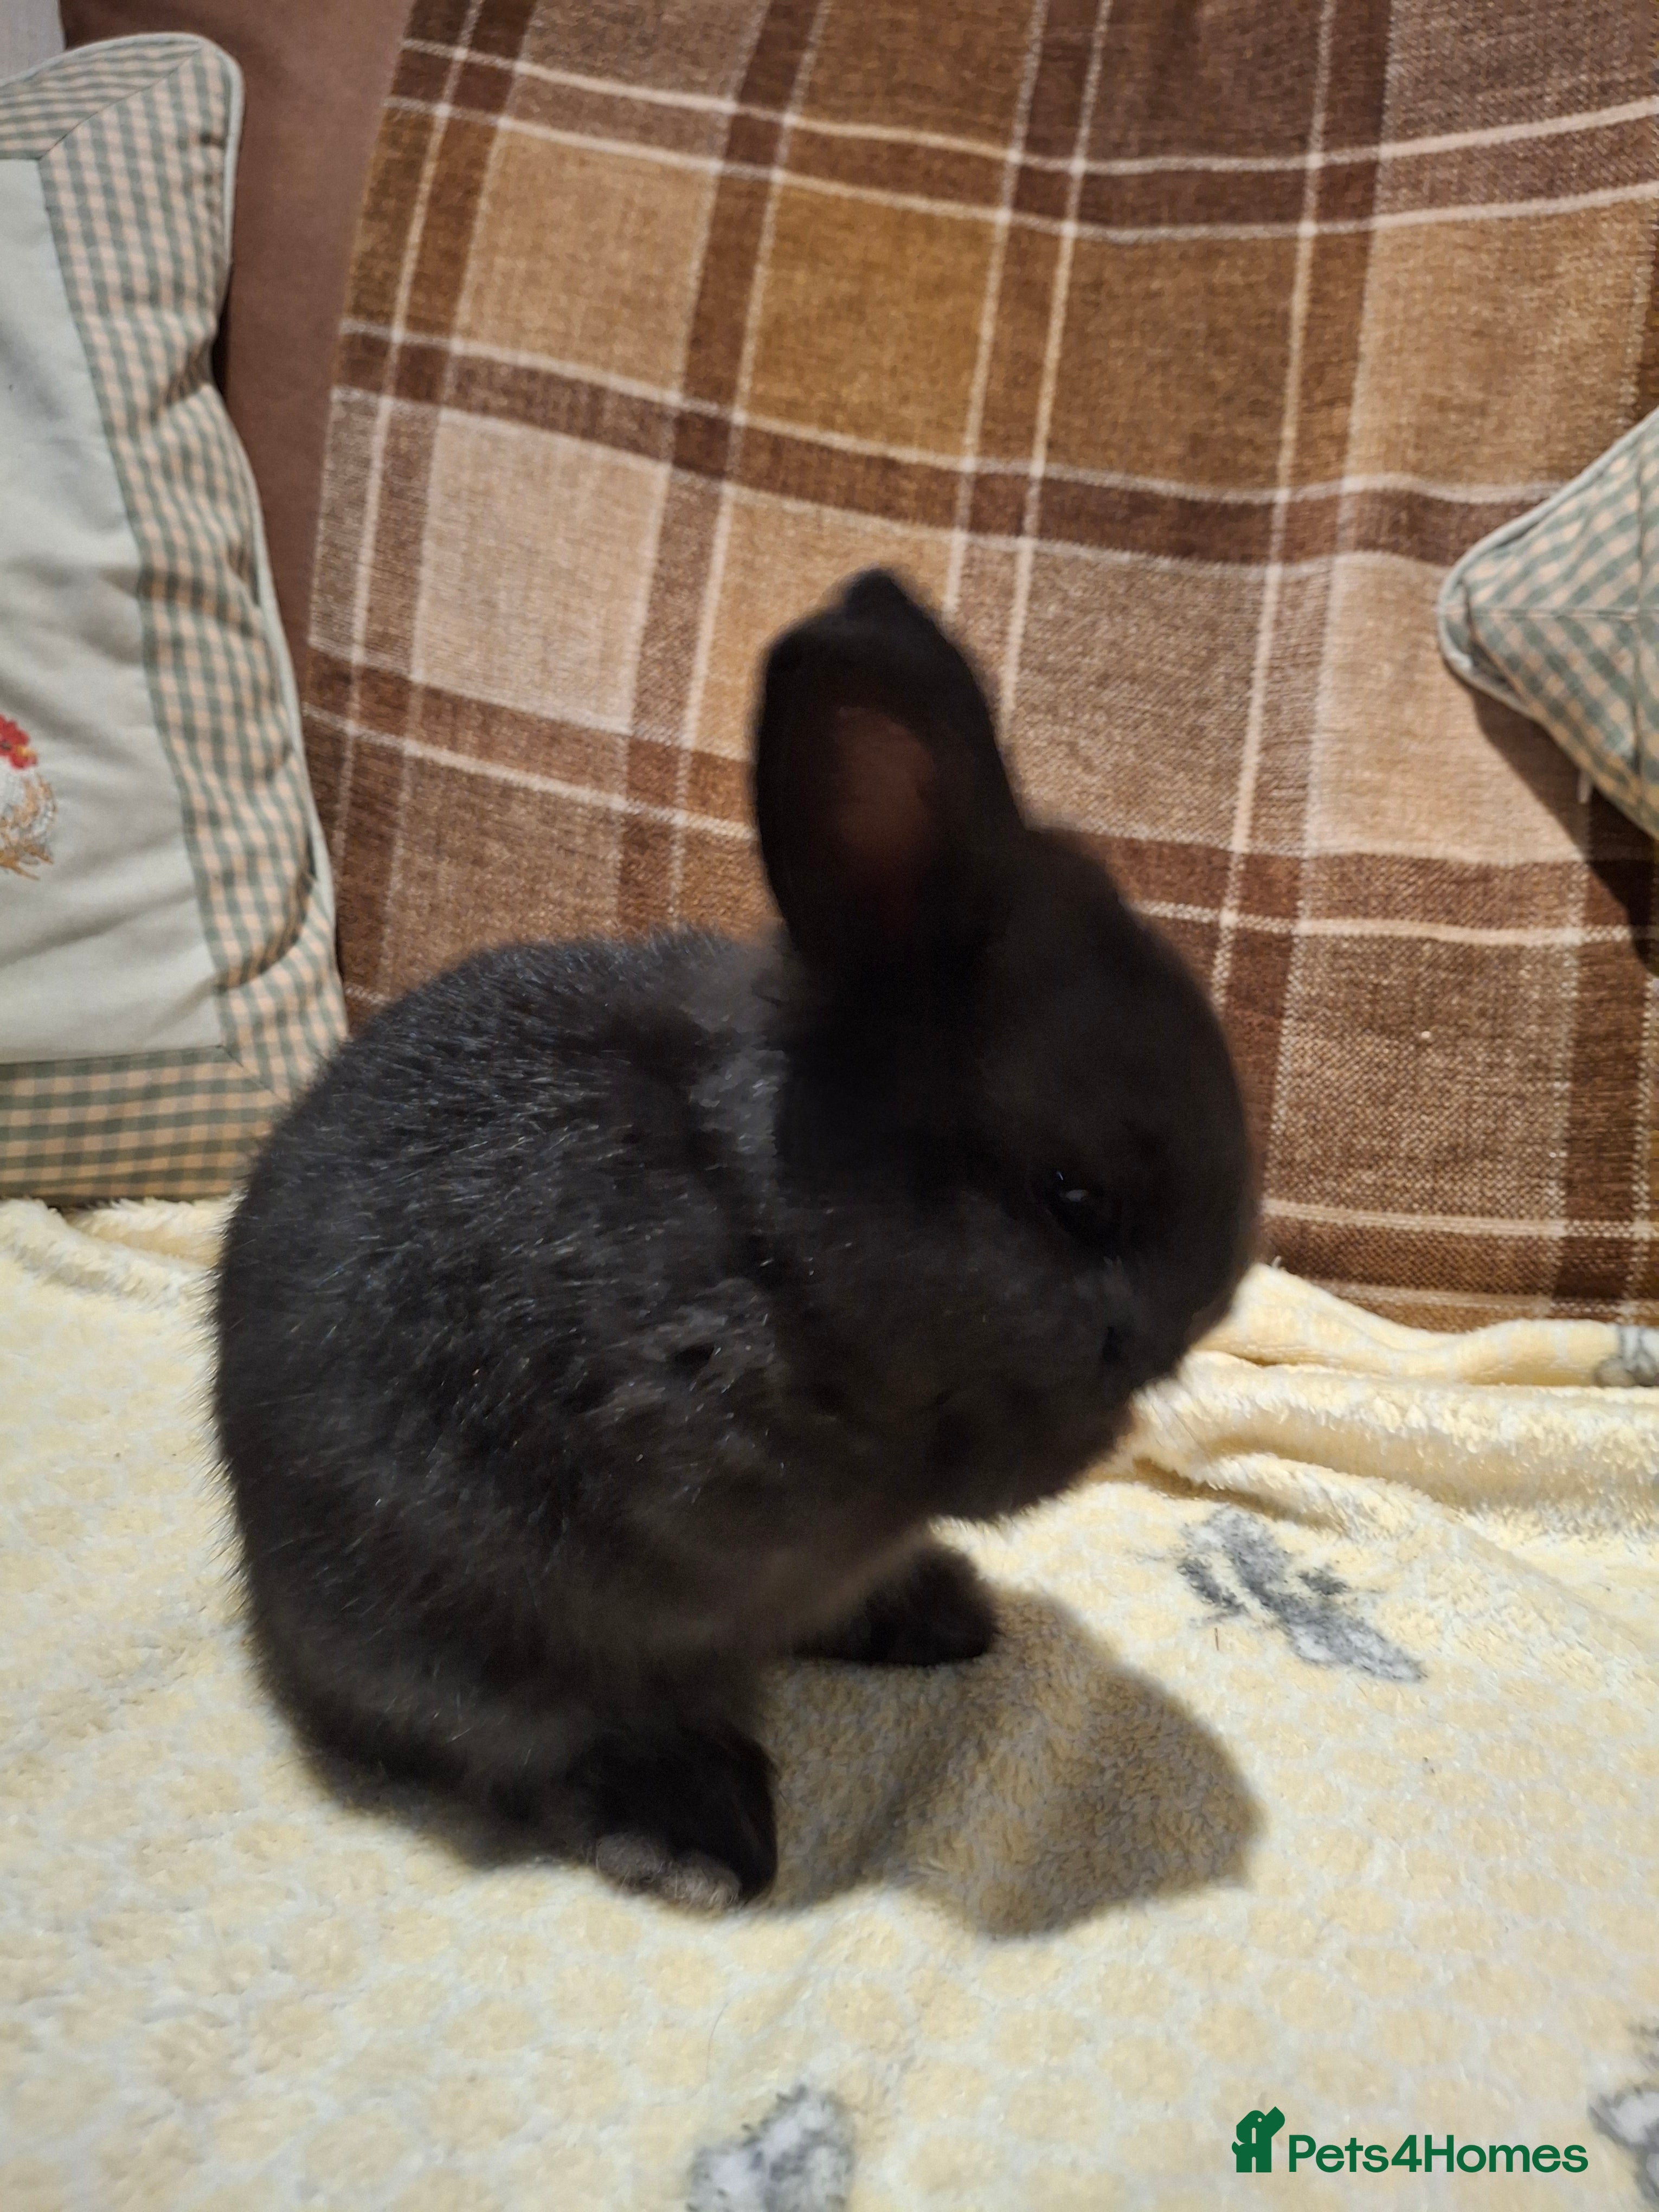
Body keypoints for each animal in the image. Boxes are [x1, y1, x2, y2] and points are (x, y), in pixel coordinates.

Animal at [213, 569, 1255, 1909]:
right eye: (1073, 1197)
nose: (1210, 1305)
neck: (770, 1230)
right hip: (467, 1644)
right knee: (547, 1745)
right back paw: (702, 1832)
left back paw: (941, 1618)